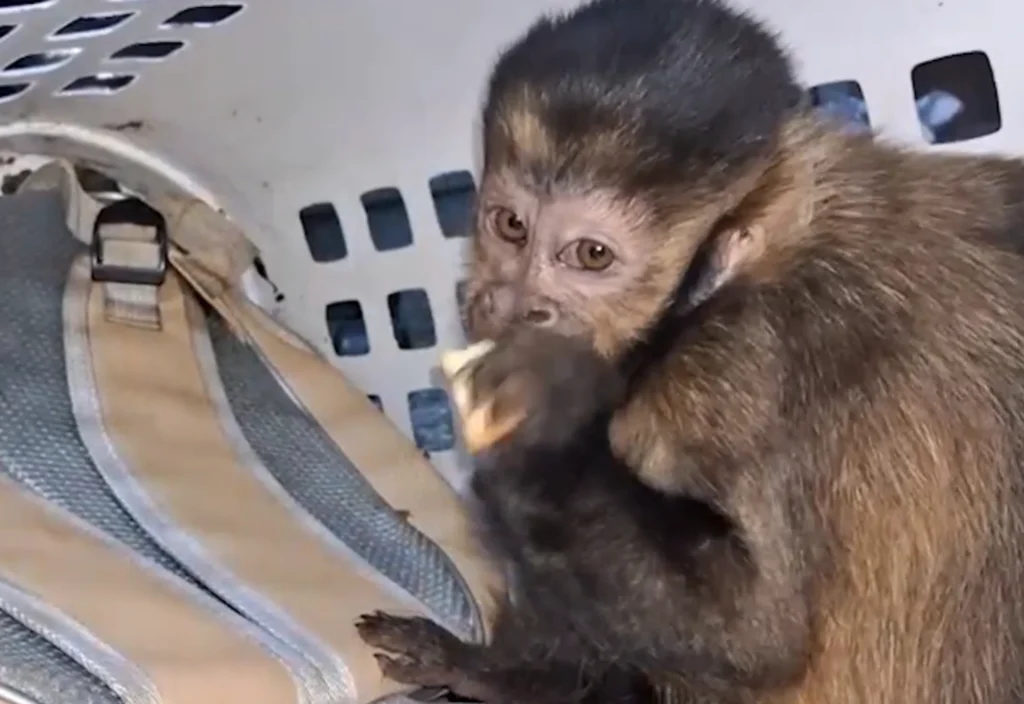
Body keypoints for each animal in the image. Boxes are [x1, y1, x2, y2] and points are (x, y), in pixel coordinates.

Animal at [356, 0, 1024, 702]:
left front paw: (545, 420)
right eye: (511, 226)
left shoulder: (731, 367)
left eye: (590, 255)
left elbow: (758, 638)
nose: (515, 304)